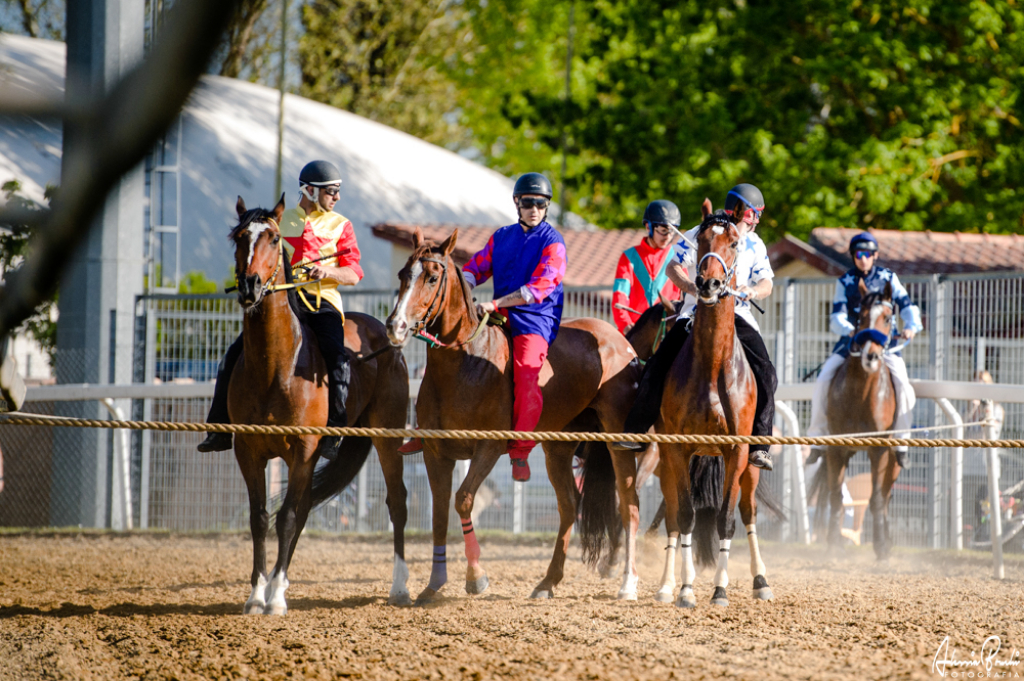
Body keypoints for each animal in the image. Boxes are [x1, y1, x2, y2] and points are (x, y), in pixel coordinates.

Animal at [230, 195, 409, 610]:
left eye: (274, 237)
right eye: (238, 236)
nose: (250, 285)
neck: (277, 365)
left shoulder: (304, 447)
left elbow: (286, 517)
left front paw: (275, 600)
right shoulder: (247, 449)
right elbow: (260, 518)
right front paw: (258, 593)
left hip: (387, 438)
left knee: (397, 503)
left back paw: (400, 587)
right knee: (307, 506)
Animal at [385, 228, 647, 602]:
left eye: (432, 277)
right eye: (403, 274)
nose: (396, 325)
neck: (466, 362)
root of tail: (621, 343)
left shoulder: (488, 448)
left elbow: (463, 500)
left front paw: (476, 576)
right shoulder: (437, 453)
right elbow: (439, 514)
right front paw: (434, 583)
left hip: (618, 442)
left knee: (629, 505)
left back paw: (627, 583)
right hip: (558, 449)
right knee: (569, 506)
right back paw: (548, 581)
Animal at [811, 276, 901, 557]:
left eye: (887, 317)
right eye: (860, 317)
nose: (870, 356)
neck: (860, 393)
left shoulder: (879, 449)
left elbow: (876, 498)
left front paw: (881, 546)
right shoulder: (836, 448)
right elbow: (836, 496)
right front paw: (833, 543)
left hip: (893, 461)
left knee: (886, 495)